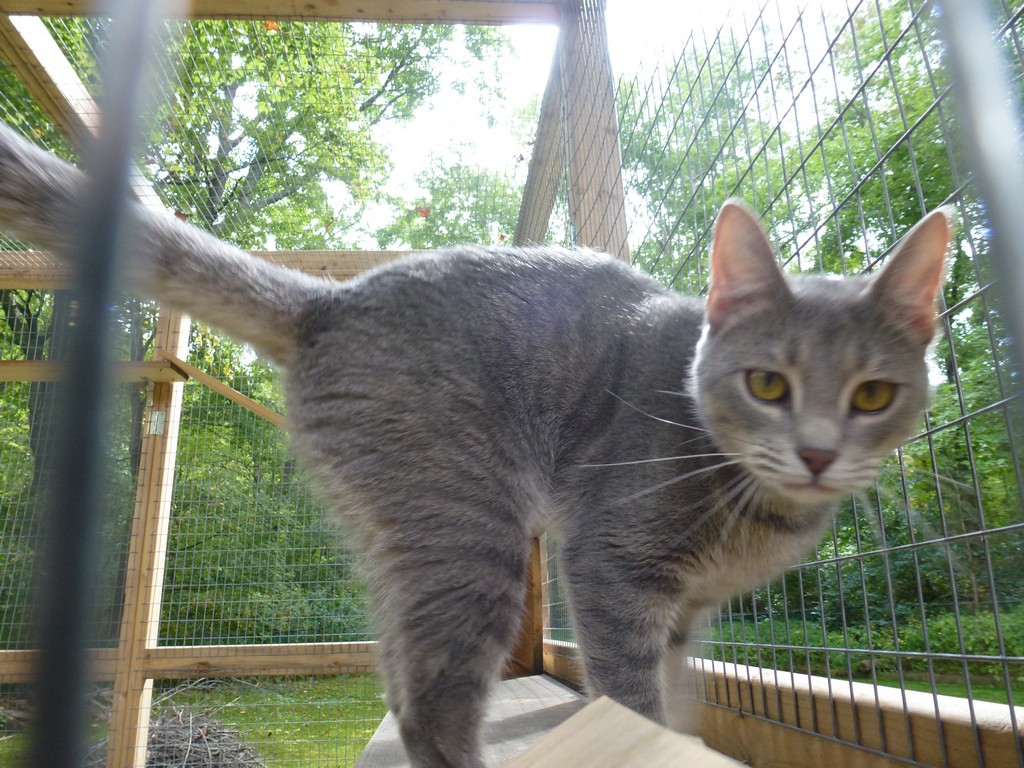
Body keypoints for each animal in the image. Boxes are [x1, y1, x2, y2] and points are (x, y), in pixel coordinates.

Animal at [0, 126, 946, 768]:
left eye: (872, 395)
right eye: (768, 385)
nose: (818, 453)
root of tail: (328, 301)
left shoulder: (683, 614)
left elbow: (677, 699)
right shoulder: (611, 568)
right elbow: (633, 697)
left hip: (416, 542)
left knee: (398, 672)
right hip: (469, 533)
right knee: (429, 706)